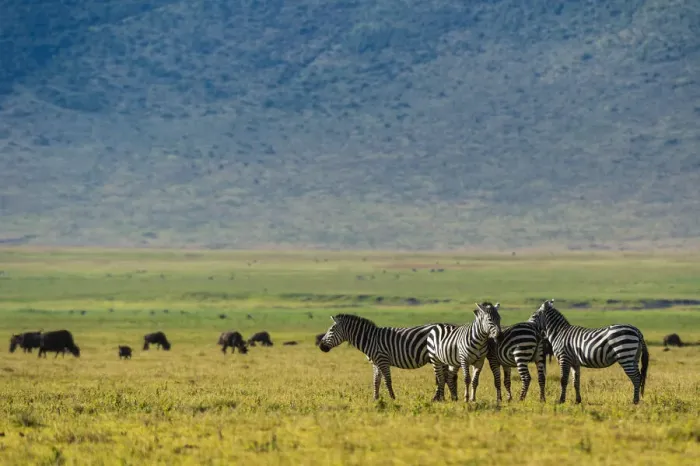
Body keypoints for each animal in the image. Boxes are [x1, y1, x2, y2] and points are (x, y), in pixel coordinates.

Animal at [318, 314, 459, 400]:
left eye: (331, 330)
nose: (321, 346)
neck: (370, 339)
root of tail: (451, 325)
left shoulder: (383, 360)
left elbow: (387, 381)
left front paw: (392, 398)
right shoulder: (376, 363)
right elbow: (376, 381)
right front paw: (375, 399)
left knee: (444, 377)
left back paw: (439, 398)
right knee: (446, 377)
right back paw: (447, 398)